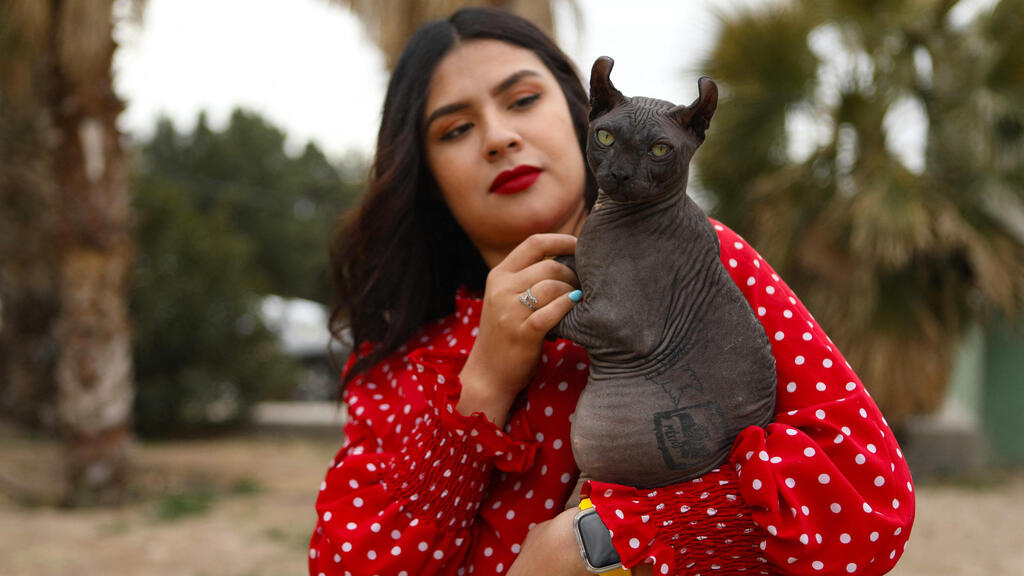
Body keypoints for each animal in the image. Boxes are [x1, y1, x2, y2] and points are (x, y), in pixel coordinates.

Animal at [557, 58, 778, 504]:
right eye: (605, 136)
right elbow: (572, 269)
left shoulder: (619, 320)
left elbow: (566, 311)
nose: (620, 173)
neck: (607, 215)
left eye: (659, 150)